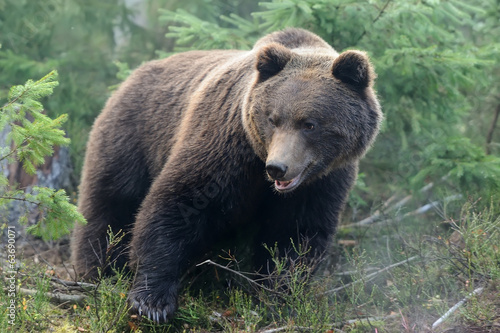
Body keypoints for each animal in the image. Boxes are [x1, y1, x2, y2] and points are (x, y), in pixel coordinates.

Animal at [71, 27, 382, 322]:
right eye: (273, 118)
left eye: (310, 124)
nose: (278, 167)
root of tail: (130, 77)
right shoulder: (226, 144)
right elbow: (177, 204)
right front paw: (152, 301)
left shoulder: (322, 182)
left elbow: (295, 236)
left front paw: (278, 297)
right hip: (132, 136)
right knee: (110, 204)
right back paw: (98, 271)